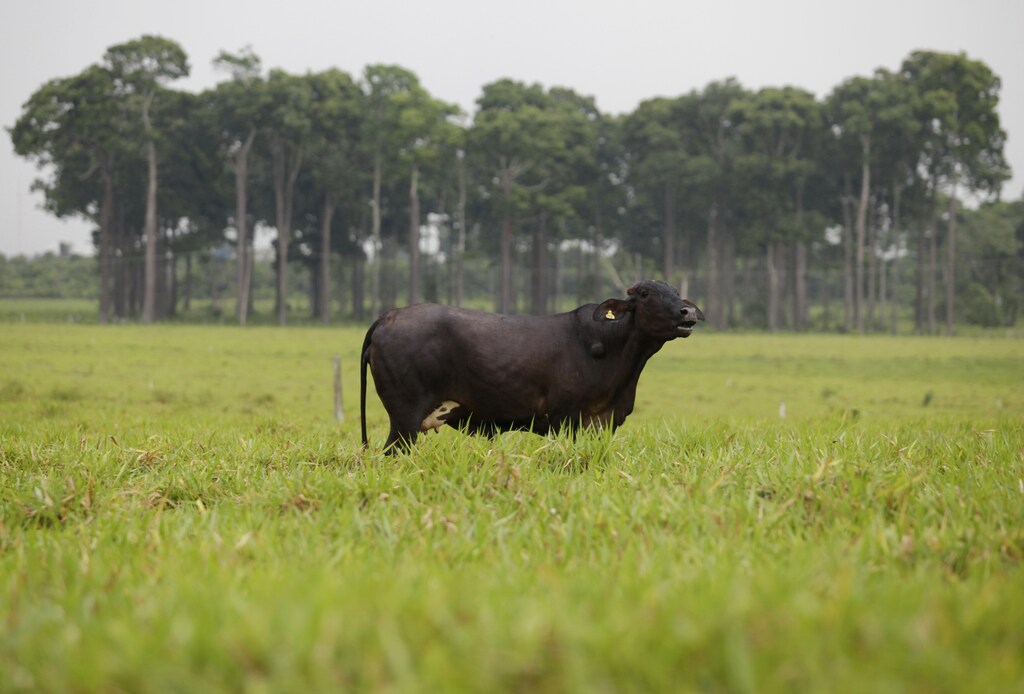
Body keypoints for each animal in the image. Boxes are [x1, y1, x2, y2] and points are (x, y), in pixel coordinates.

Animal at [359, 279, 704, 452]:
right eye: (646, 293)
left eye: (676, 292)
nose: (687, 312)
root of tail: (388, 317)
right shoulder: (565, 417)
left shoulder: (602, 422)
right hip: (405, 418)